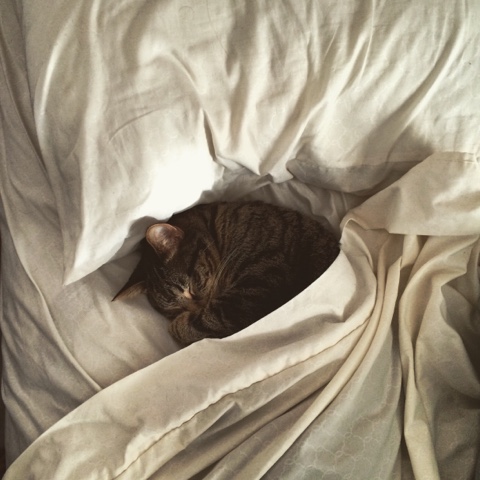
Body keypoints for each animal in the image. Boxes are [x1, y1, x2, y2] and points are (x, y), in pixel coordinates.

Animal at [114, 201, 339, 346]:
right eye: (174, 309)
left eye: (190, 289)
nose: (197, 309)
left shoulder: (257, 288)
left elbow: (200, 323)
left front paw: (179, 327)